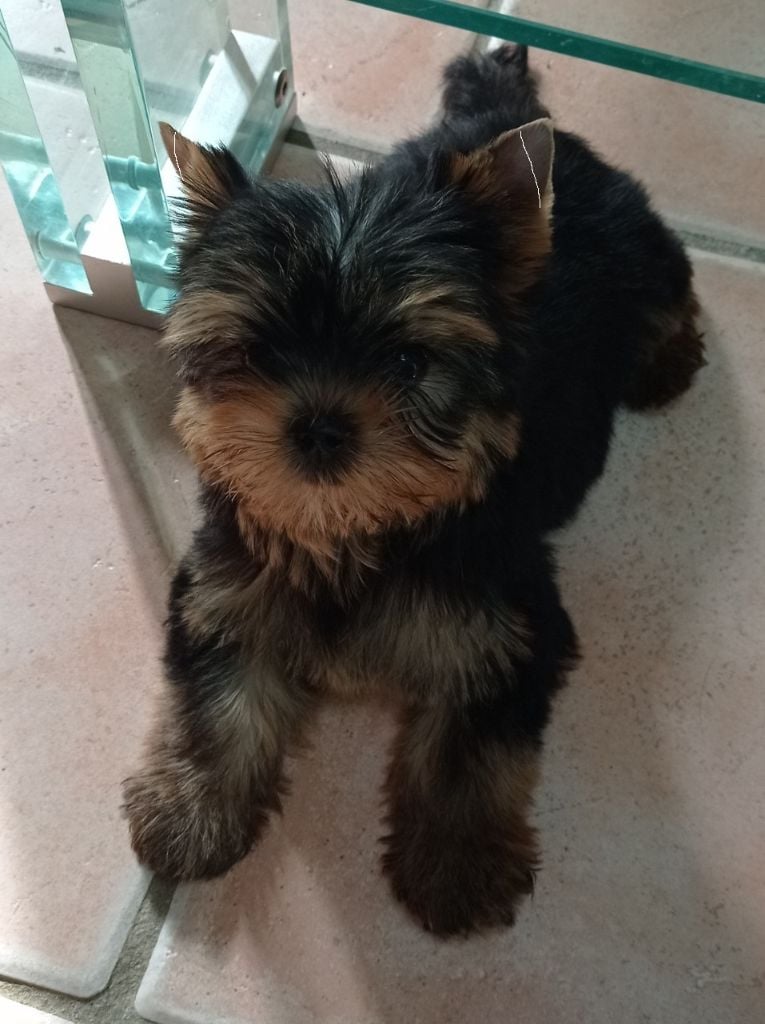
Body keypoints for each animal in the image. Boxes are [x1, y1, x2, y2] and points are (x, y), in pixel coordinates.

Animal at [124, 44, 704, 936]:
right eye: (256, 353)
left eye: (406, 362)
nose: (319, 425)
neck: (351, 527)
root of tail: (502, 113)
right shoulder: (224, 588)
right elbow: (212, 701)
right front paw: (187, 810)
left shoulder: (506, 624)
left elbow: (473, 750)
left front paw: (458, 866)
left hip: (641, 249)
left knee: (671, 290)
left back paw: (667, 360)